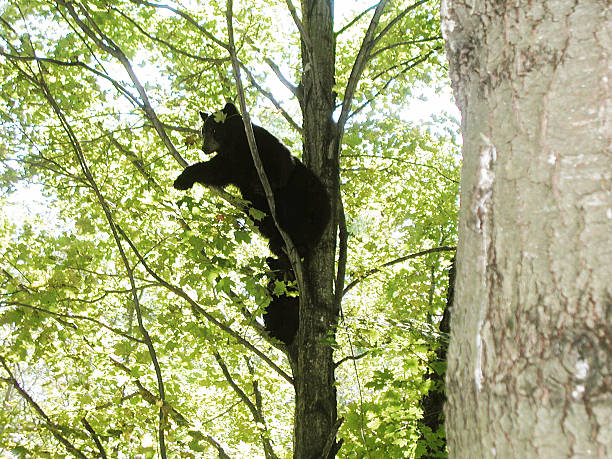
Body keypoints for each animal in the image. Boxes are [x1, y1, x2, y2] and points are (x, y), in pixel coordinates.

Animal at [172, 101, 330, 344]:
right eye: (202, 131)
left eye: (214, 129)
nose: (205, 147)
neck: (236, 144)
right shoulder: (233, 164)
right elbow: (216, 170)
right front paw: (184, 179)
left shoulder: (259, 145)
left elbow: (280, 164)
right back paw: (276, 245)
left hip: (306, 201)